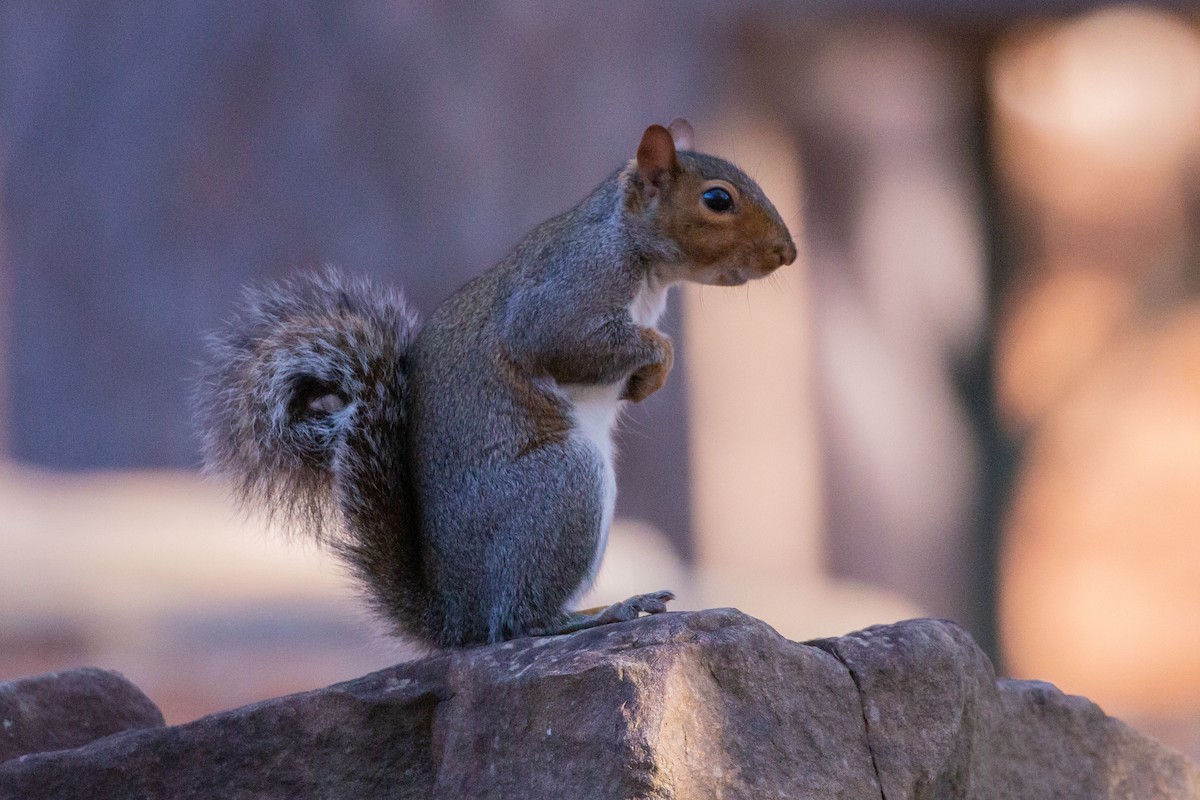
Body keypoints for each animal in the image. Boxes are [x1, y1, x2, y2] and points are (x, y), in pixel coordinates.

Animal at [196, 119, 796, 648]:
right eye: (717, 200)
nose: (787, 253)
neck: (630, 243)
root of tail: (457, 617)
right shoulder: (567, 296)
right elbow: (569, 342)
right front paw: (655, 366)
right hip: (561, 487)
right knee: (517, 621)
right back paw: (602, 613)